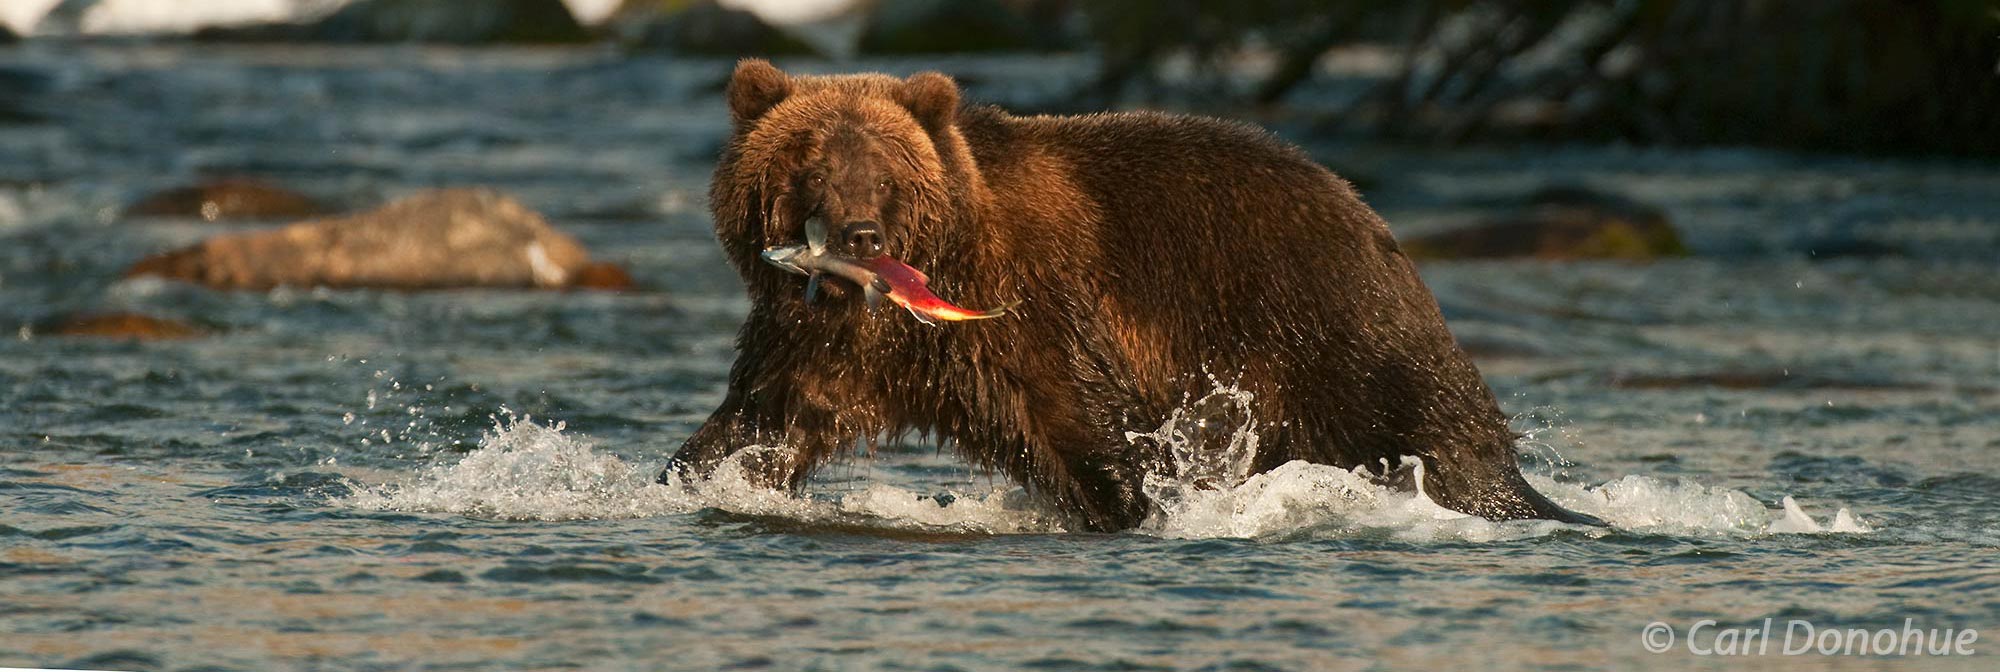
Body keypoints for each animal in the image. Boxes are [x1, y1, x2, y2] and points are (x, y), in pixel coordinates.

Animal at [660, 59, 1600, 532]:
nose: (860, 237)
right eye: (812, 160)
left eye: (884, 171)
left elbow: (1082, 421)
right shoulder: (824, 346)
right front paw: (684, 479)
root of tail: (1376, 224)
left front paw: (1141, 505)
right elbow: (761, 425)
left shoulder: (1030, 313)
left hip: (1328, 332)